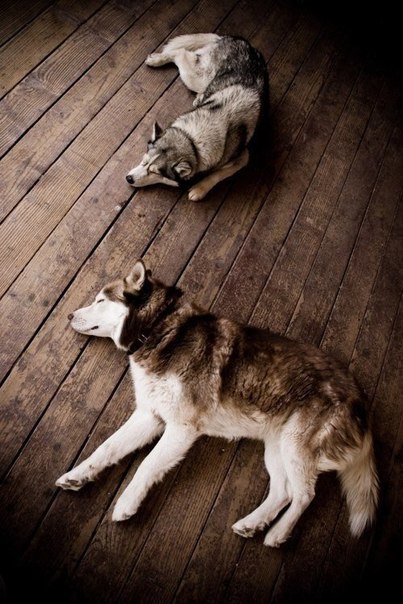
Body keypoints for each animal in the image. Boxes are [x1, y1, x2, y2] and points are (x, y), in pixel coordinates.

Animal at [56, 260, 378, 548]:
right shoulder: (150, 416)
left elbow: (147, 464)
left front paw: (127, 503)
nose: (69, 315)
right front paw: (77, 475)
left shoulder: (182, 428)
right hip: (277, 447)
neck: (160, 329)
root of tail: (359, 399)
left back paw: (277, 534)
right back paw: (252, 524)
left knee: (304, 496)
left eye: (100, 300)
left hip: (296, 447)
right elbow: (106, 448)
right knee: (283, 493)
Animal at [125, 33, 268, 201]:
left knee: (182, 53)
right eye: (144, 161)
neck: (192, 140)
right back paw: (156, 60)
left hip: (198, 78)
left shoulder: (243, 157)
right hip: (197, 78)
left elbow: (218, 174)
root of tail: (242, 42)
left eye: (154, 172)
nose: (129, 178)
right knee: (181, 52)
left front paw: (199, 189)